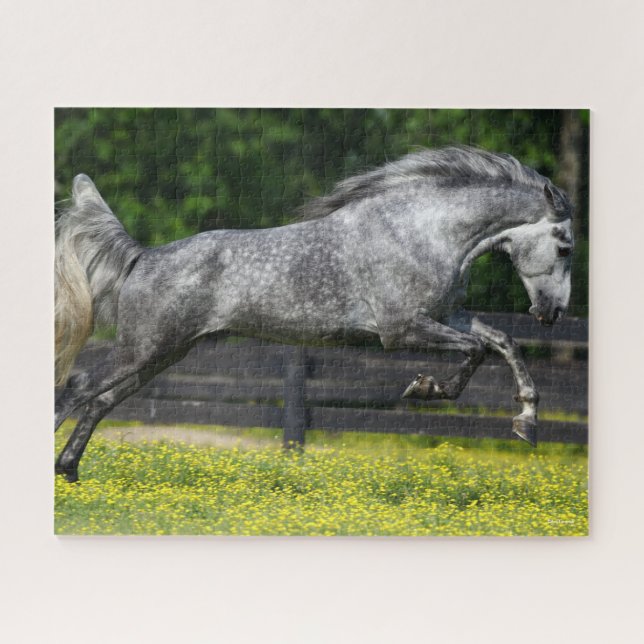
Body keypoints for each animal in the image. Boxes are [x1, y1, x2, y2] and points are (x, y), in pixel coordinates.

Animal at [55, 146, 573, 482]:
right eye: (565, 245)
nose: (551, 313)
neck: (421, 230)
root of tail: (144, 257)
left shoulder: (448, 313)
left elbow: (501, 341)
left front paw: (526, 423)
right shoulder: (401, 329)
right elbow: (476, 350)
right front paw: (426, 388)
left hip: (163, 354)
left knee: (98, 401)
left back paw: (70, 470)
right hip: (142, 349)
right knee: (75, 391)